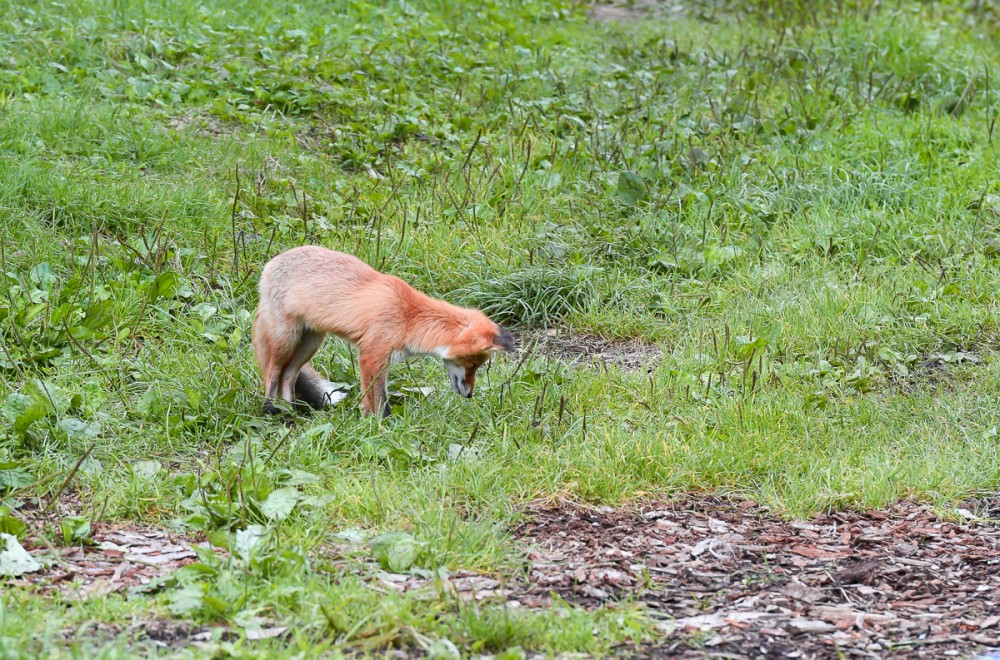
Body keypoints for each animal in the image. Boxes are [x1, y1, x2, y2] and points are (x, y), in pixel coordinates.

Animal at [252, 245, 516, 416]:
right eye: (472, 364)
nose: (470, 394)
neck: (409, 318)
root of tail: (270, 263)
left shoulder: (381, 361)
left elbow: (370, 400)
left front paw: (367, 423)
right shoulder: (372, 356)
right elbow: (380, 402)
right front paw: (381, 428)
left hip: (310, 343)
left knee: (288, 376)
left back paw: (292, 413)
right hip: (285, 339)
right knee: (273, 371)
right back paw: (271, 411)